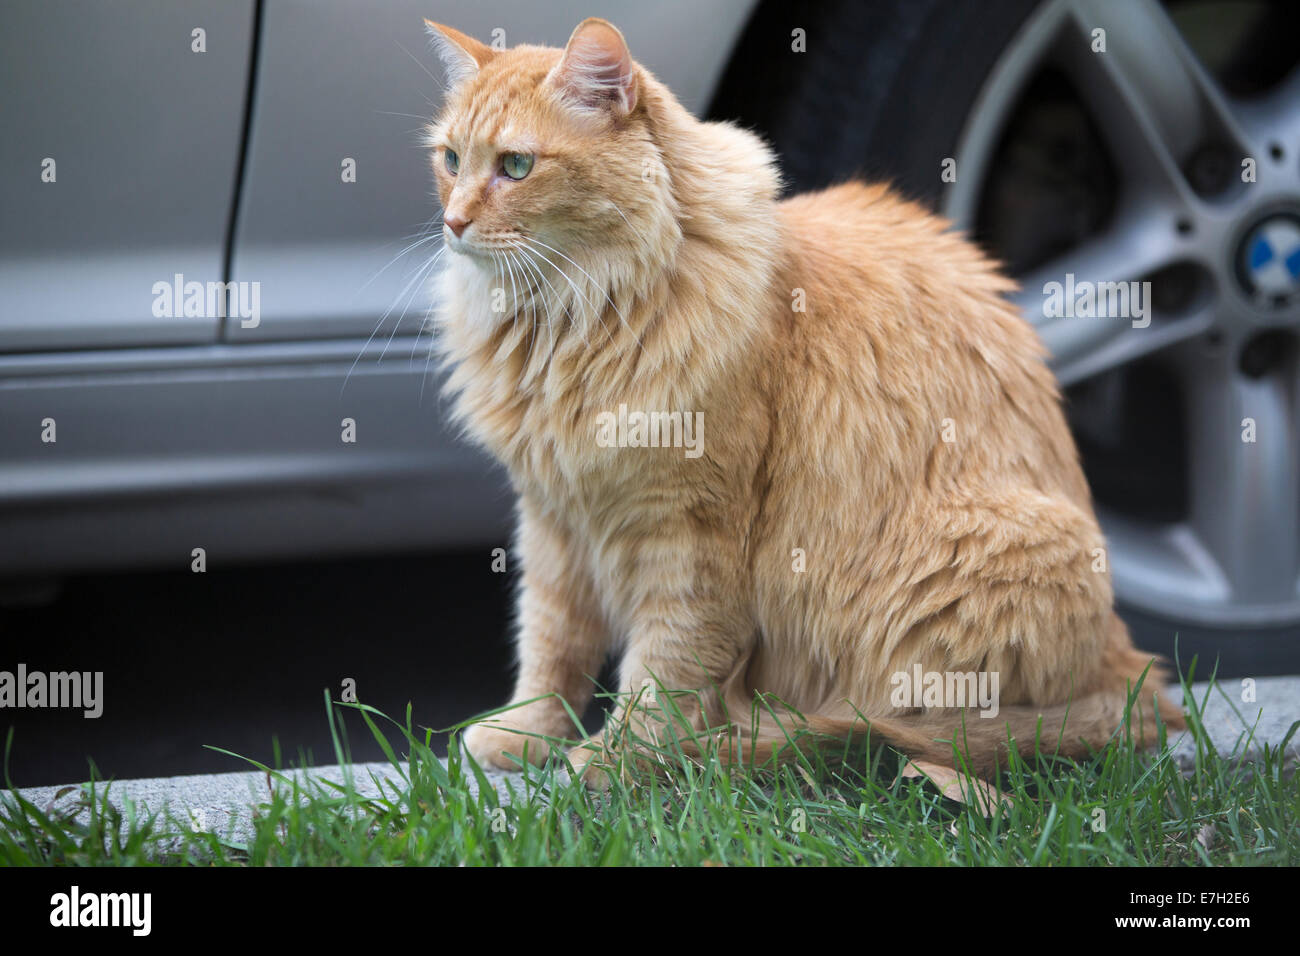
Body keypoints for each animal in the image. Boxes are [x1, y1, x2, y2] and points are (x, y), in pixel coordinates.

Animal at [421, 18, 1185, 780]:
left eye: (517, 166)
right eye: (451, 160)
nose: (453, 223)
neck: (571, 320)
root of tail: (1134, 676)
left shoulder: (692, 535)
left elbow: (662, 671)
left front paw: (616, 762)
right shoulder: (553, 518)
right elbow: (552, 645)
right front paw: (526, 736)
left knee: (932, 727)